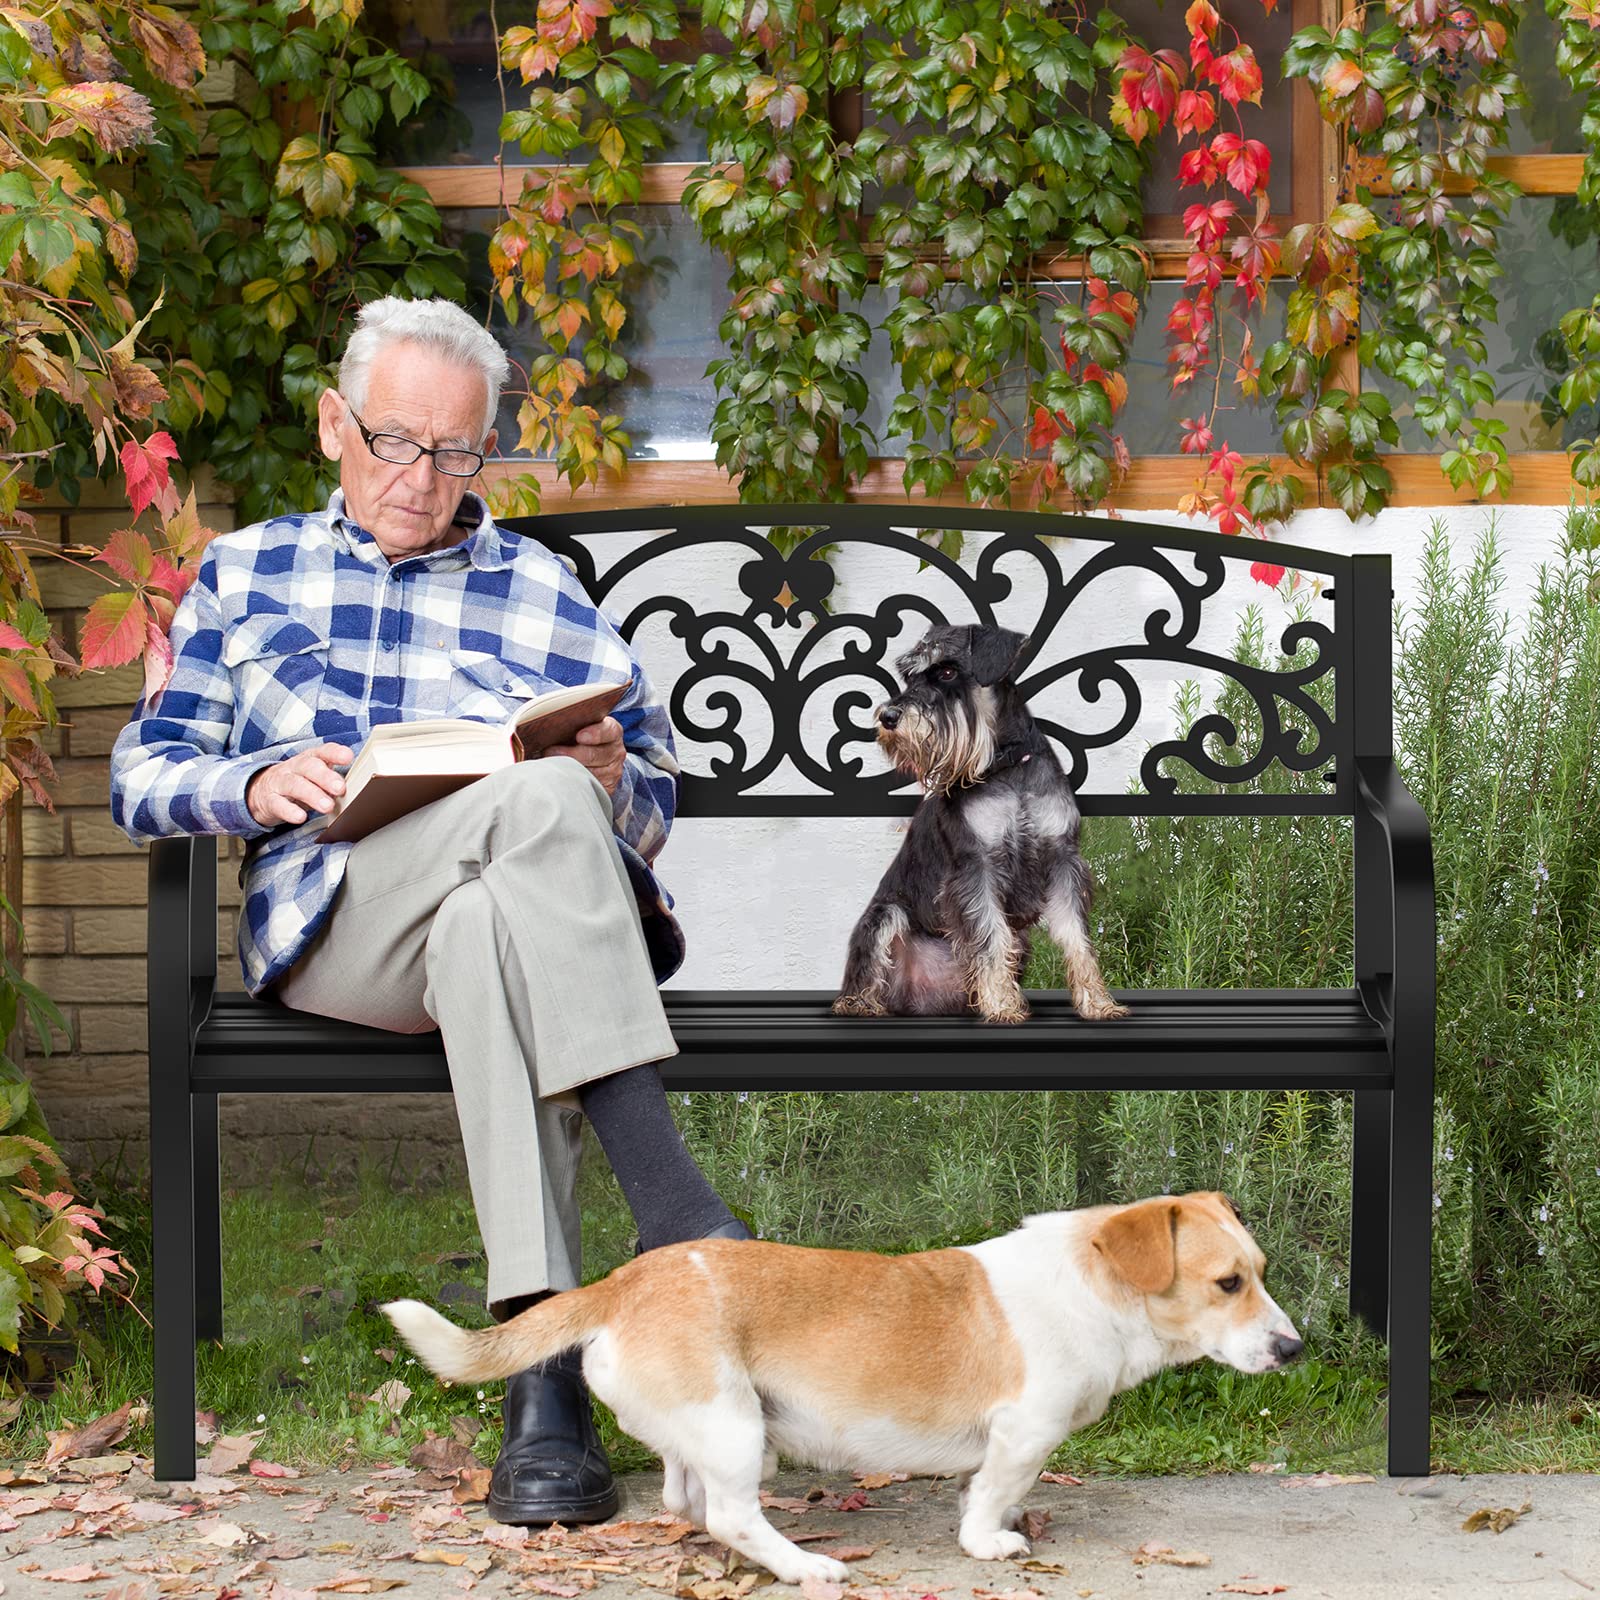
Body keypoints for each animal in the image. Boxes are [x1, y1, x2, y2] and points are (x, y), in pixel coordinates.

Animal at [387, 1196, 1299, 1580]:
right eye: (1227, 1284)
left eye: (1259, 1272)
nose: (1293, 1349)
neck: (1095, 1282)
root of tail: (621, 1283)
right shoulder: (1023, 1435)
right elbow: (989, 1497)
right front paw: (991, 1542)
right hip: (734, 1428)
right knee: (729, 1514)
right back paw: (805, 1566)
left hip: (716, 1428)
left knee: (687, 1499)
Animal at [838, 617, 1126, 1017]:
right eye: (909, 677)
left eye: (946, 671)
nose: (889, 717)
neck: (1007, 765)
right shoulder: (976, 865)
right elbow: (989, 937)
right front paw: (1003, 1007)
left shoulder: (1062, 858)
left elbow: (1077, 938)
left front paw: (1097, 1003)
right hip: (884, 916)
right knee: (865, 979)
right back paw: (863, 1005)